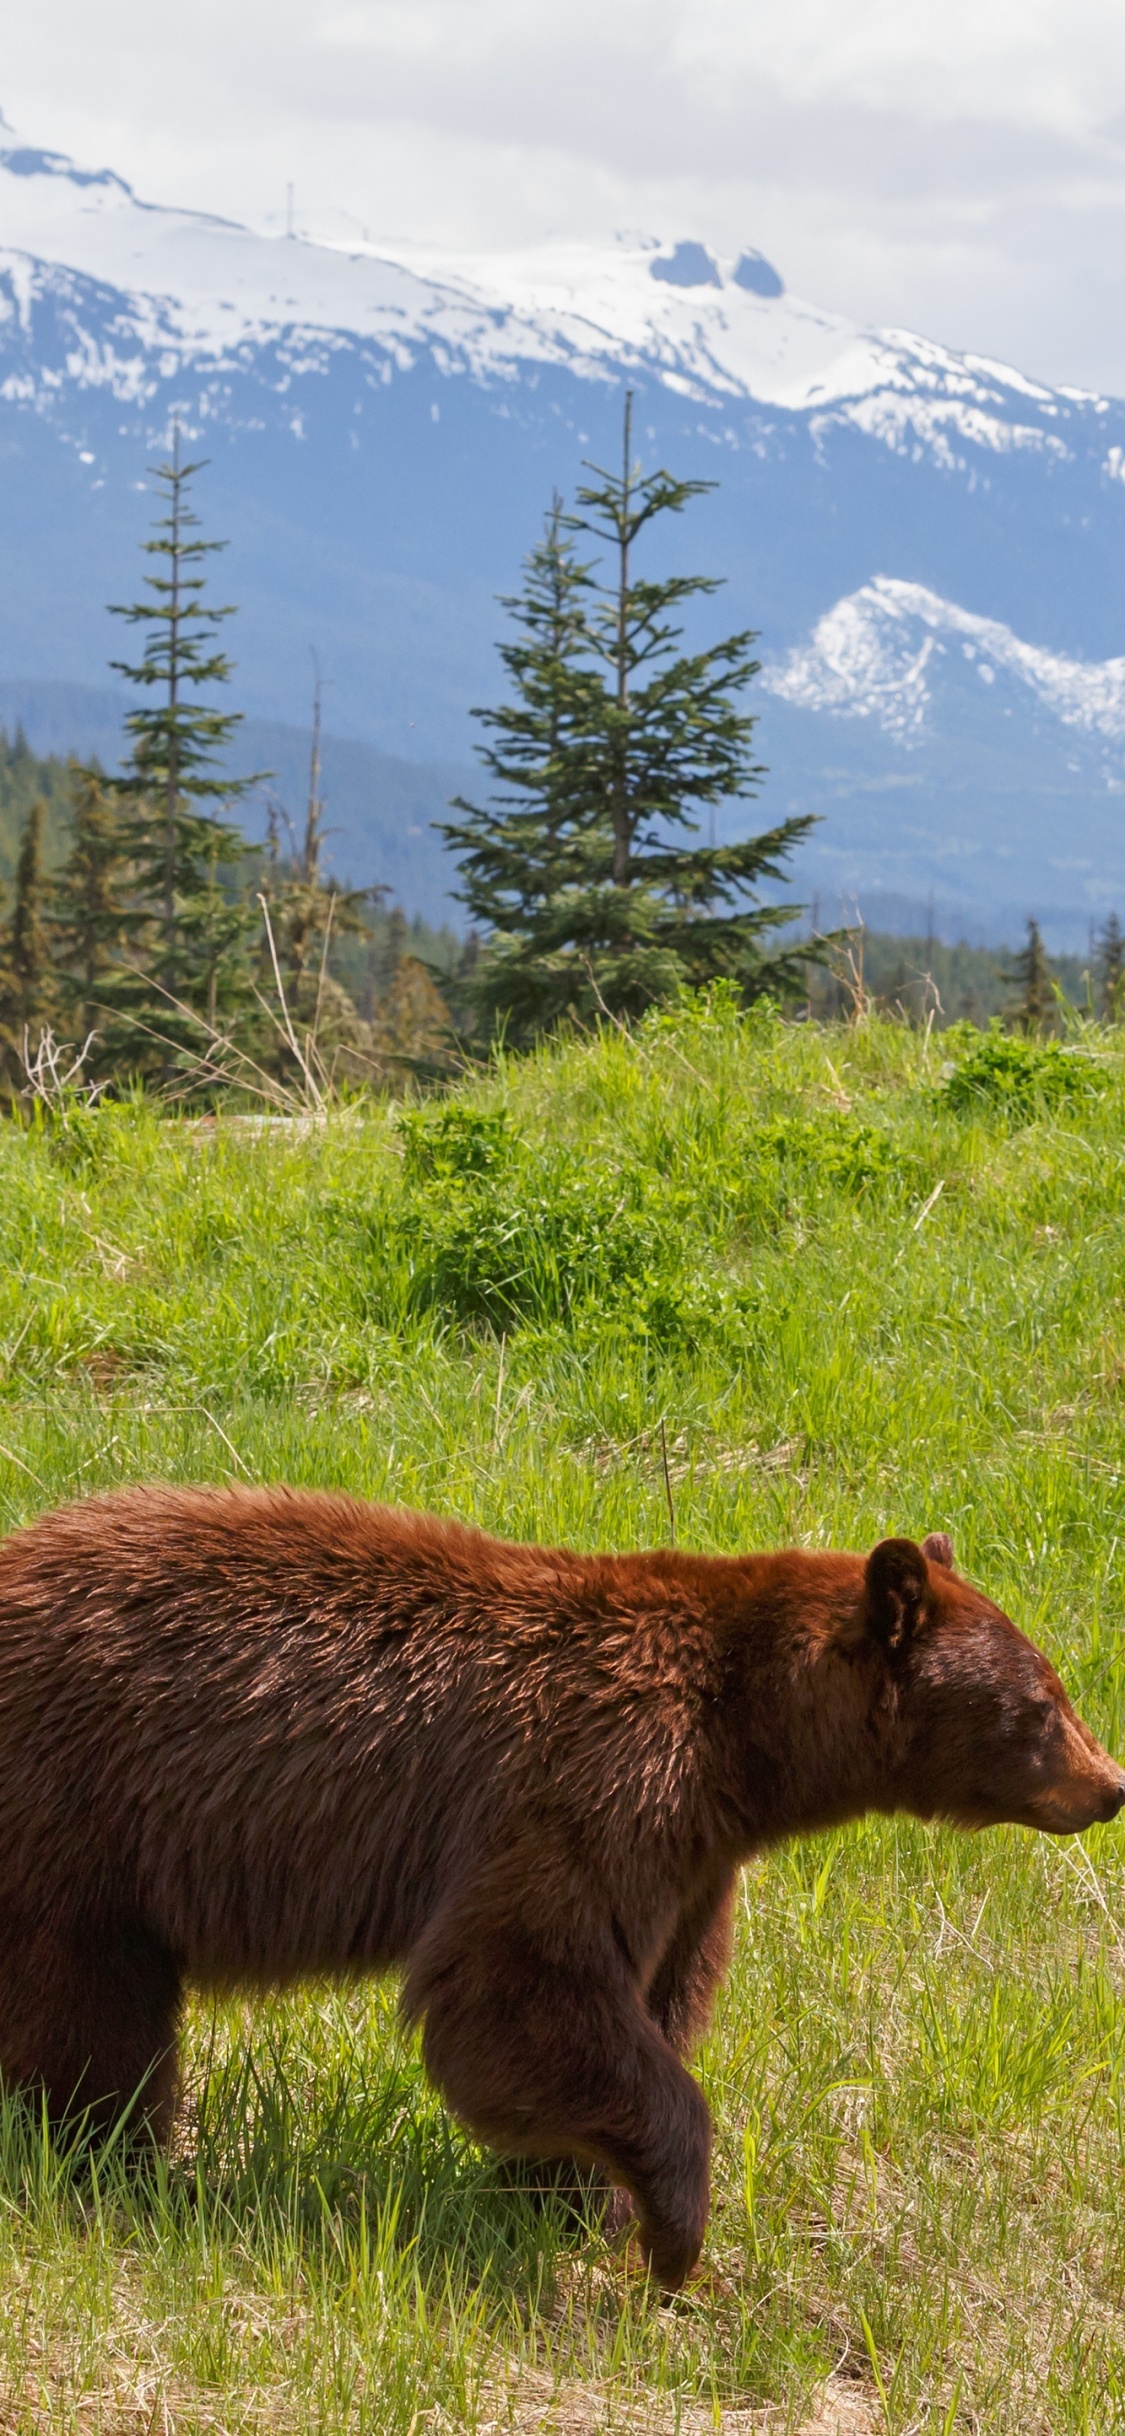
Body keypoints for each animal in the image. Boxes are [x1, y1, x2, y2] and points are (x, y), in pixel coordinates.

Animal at [0, 1483, 1119, 2290]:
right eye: (1042, 1701)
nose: (1108, 1787)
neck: (743, 1744)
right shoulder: (596, 1779)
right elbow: (520, 1982)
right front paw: (670, 2232)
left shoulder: (693, 1860)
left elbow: (649, 2001)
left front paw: (569, 2196)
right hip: (79, 1813)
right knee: (88, 2012)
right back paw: (112, 2167)